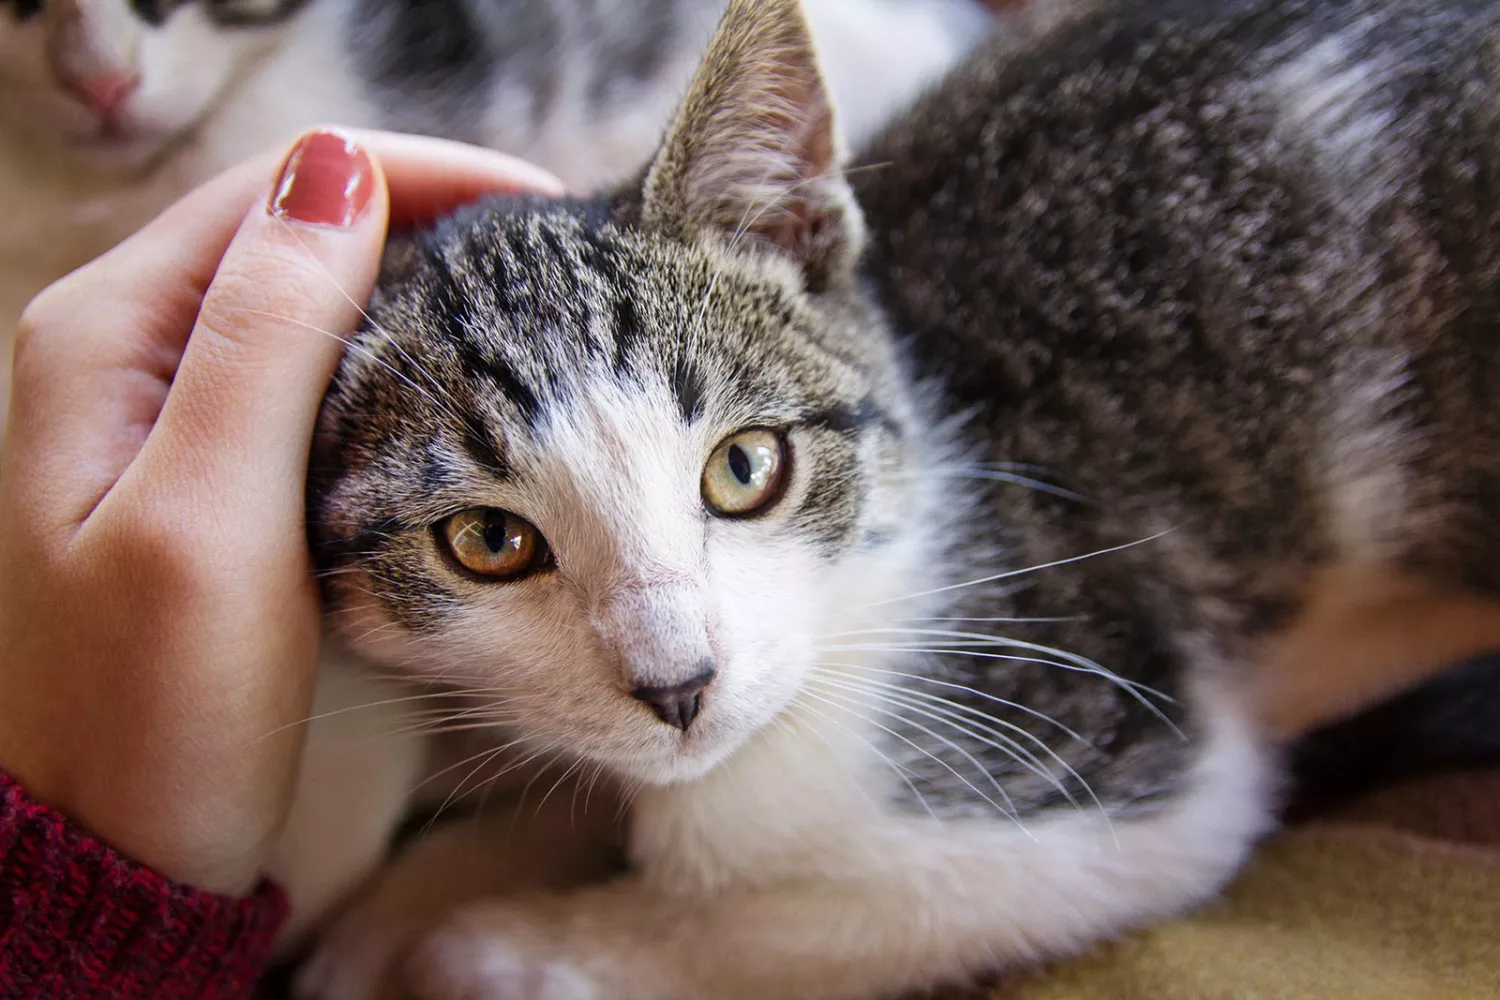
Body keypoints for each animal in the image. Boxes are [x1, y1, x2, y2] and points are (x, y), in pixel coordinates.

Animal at [298, 0, 1500, 995]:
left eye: (745, 468)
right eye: (487, 540)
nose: (681, 685)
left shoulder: (1109, 746)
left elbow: (793, 919)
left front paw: (498, 942)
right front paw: (401, 904)